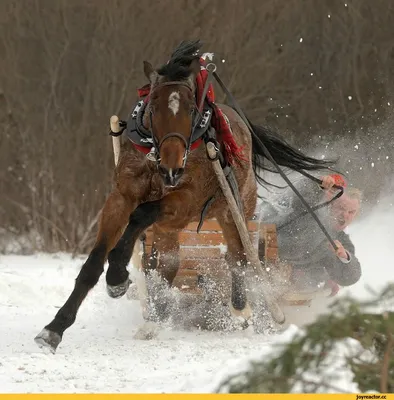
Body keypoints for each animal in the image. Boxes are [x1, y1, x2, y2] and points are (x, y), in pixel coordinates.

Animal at [34, 41, 336, 354]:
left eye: (191, 109)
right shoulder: (121, 196)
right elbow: (95, 261)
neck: (154, 159)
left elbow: (141, 215)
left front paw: (117, 275)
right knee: (168, 264)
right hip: (173, 227)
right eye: (152, 107)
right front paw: (55, 328)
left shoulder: (188, 201)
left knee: (237, 256)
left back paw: (240, 308)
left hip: (233, 210)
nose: (172, 166)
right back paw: (155, 317)